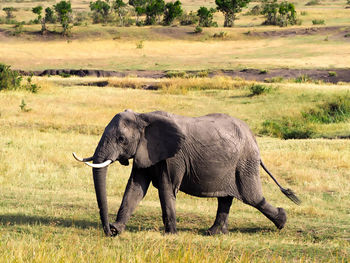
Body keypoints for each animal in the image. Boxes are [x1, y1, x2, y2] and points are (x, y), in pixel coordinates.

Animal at [72, 110, 300, 238]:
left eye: (121, 139)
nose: (106, 230)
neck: (143, 117)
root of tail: (253, 138)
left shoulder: (173, 157)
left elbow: (166, 188)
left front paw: (171, 235)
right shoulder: (145, 152)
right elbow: (135, 188)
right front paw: (117, 230)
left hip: (245, 162)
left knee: (252, 197)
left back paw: (282, 221)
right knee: (226, 198)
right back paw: (214, 233)